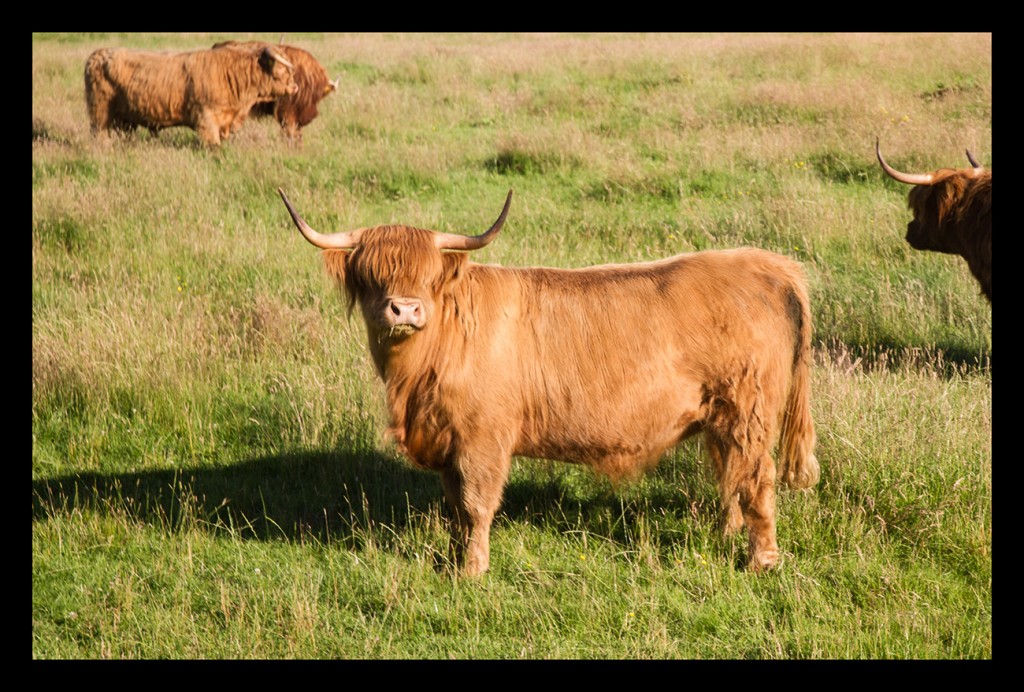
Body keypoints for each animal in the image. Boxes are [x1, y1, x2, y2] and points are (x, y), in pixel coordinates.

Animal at [86, 44, 299, 146]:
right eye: (283, 70)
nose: (295, 87)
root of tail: (97, 55)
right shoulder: (206, 119)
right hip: (100, 112)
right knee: (97, 134)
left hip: (124, 121)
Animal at [276, 186, 819, 577]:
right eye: (371, 275)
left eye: (429, 278)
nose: (405, 310)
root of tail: (771, 265)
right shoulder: (450, 441)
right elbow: (454, 507)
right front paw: (451, 557)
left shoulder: (483, 439)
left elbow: (476, 504)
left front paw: (472, 571)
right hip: (722, 417)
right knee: (731, 474)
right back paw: (725, 536)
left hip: (749, 410)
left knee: (758, 478)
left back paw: (761, 560)